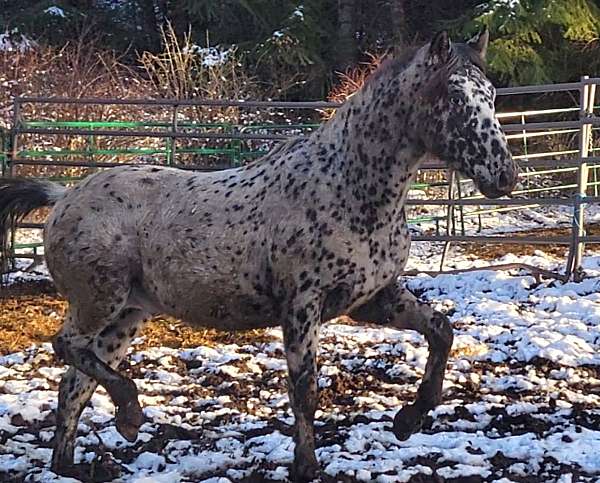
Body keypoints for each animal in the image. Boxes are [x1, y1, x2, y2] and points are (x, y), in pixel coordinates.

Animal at [0, 29, 516, 483]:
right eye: (454, 98)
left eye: (490, 94)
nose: (504, 176)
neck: (347, 187)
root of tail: (63, 195)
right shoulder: (302, 306)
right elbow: (305, 391)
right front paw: (307, 467)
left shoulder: (373, 299)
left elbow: (441, 331)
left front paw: (409, 419)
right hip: (99, 300)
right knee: (66, 347)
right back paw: (129, 413)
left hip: (127, 313)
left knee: (74, 384)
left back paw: (78, 461)